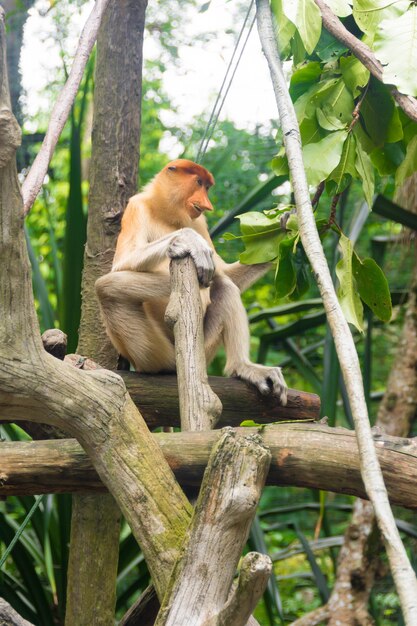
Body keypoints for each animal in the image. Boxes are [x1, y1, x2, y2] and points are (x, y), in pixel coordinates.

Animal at [96, 158, 288, 402]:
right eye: (198, 182)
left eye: (207, 187)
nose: (207, 205)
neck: (167, 215)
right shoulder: (136, 207)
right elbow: (123, 262)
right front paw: (187, 239)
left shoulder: (200, 222)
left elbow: (226, 275)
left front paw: (283, 229)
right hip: (155, 354)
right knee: (107, 287)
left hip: (204, 349)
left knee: (225, 285)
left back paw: (243, 367)